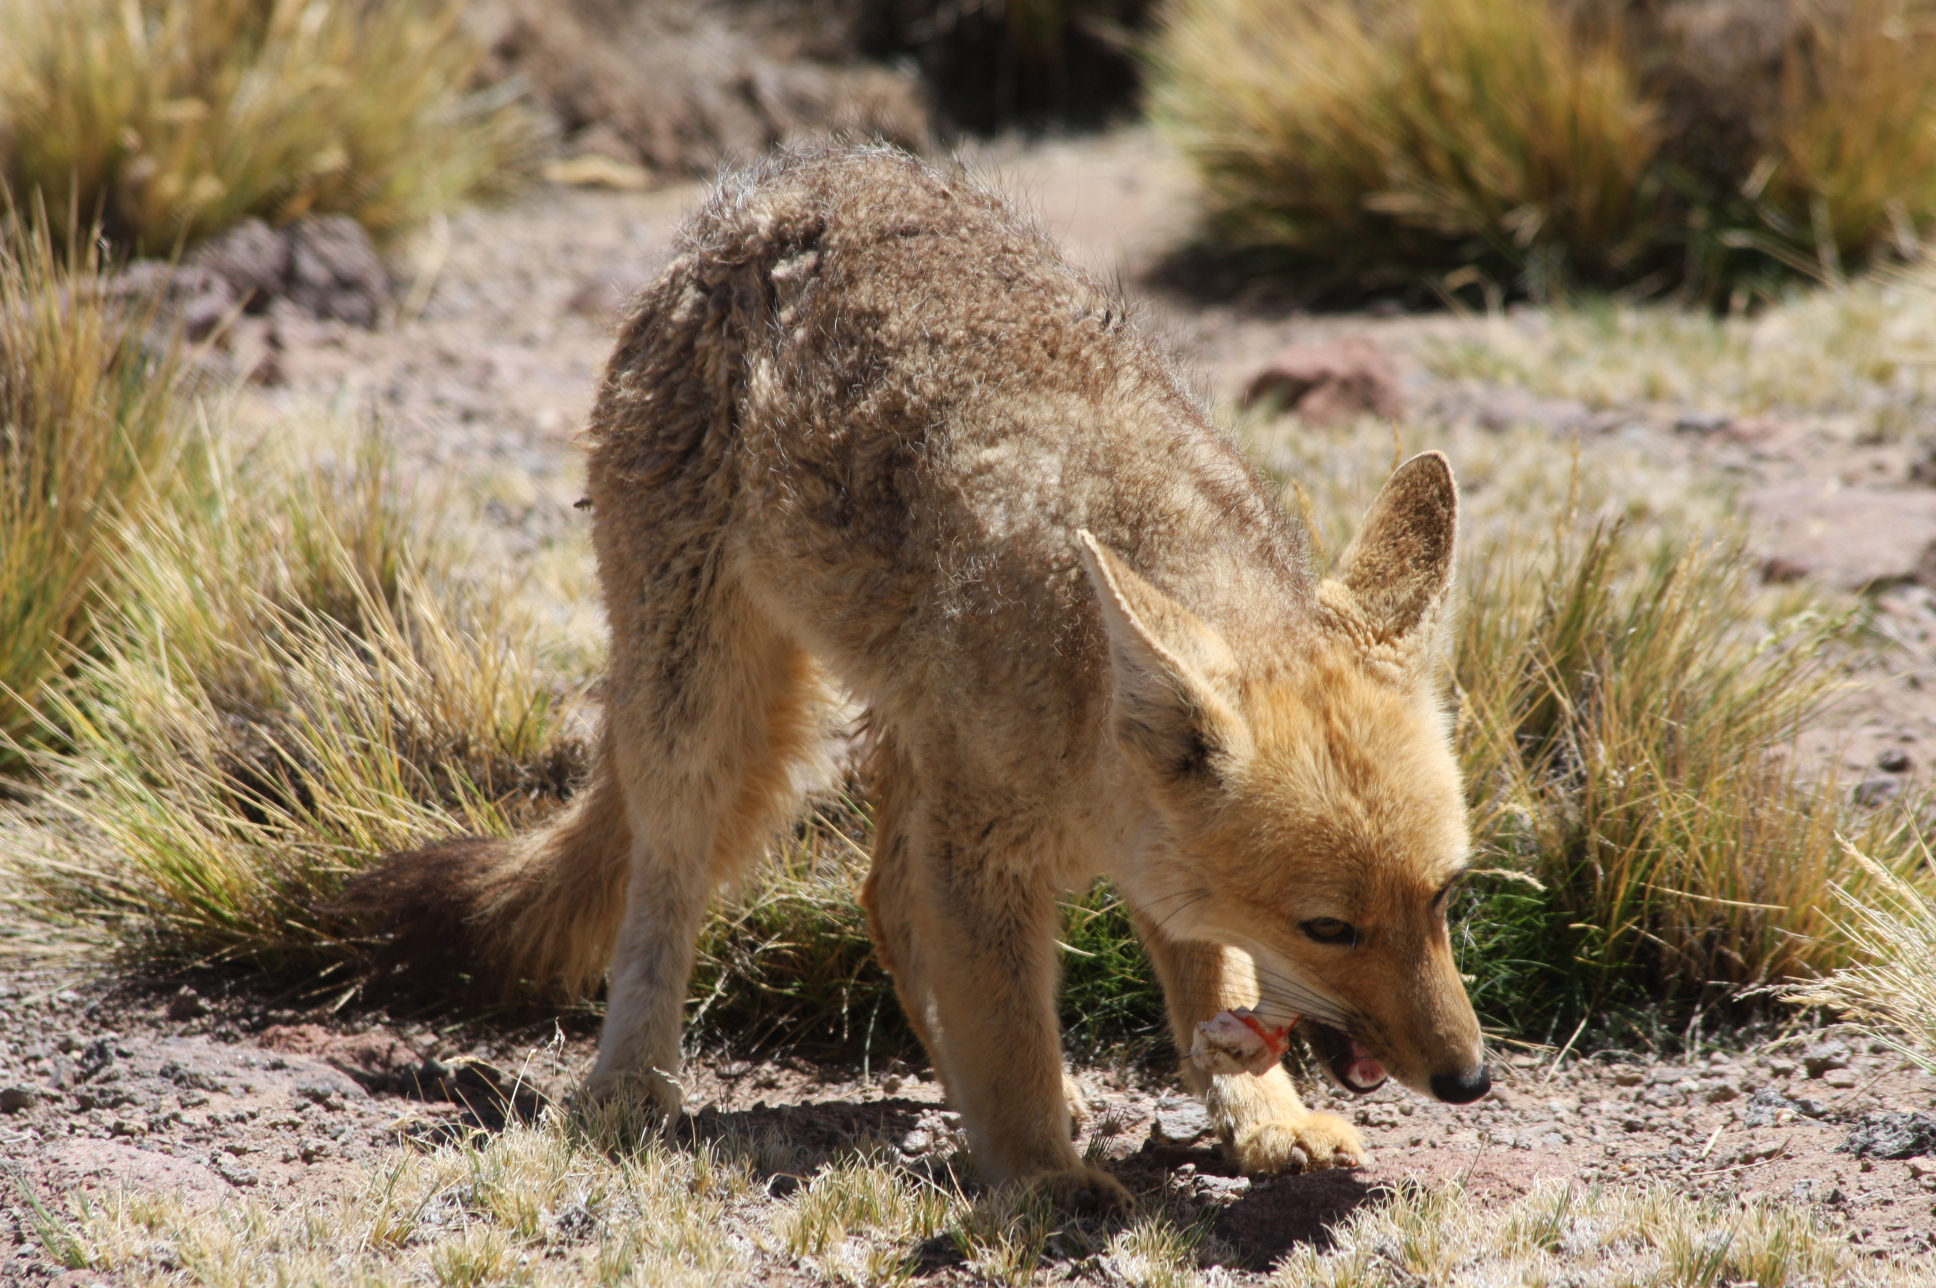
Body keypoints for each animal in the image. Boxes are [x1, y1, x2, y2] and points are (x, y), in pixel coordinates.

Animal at [348, 144, 1490, 1210]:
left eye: (1445, 896)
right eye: (1330, 928)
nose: (1469, 1079)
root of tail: (778, 183)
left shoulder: (1115, 848)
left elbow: (1210, 973)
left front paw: (1265, 1122)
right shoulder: (977, 852)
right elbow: (1010, 1032)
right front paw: (1039, 1175)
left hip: (894, 733)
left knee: (882, 902)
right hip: (704, 717)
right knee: (665, 893)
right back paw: (631, 1086)